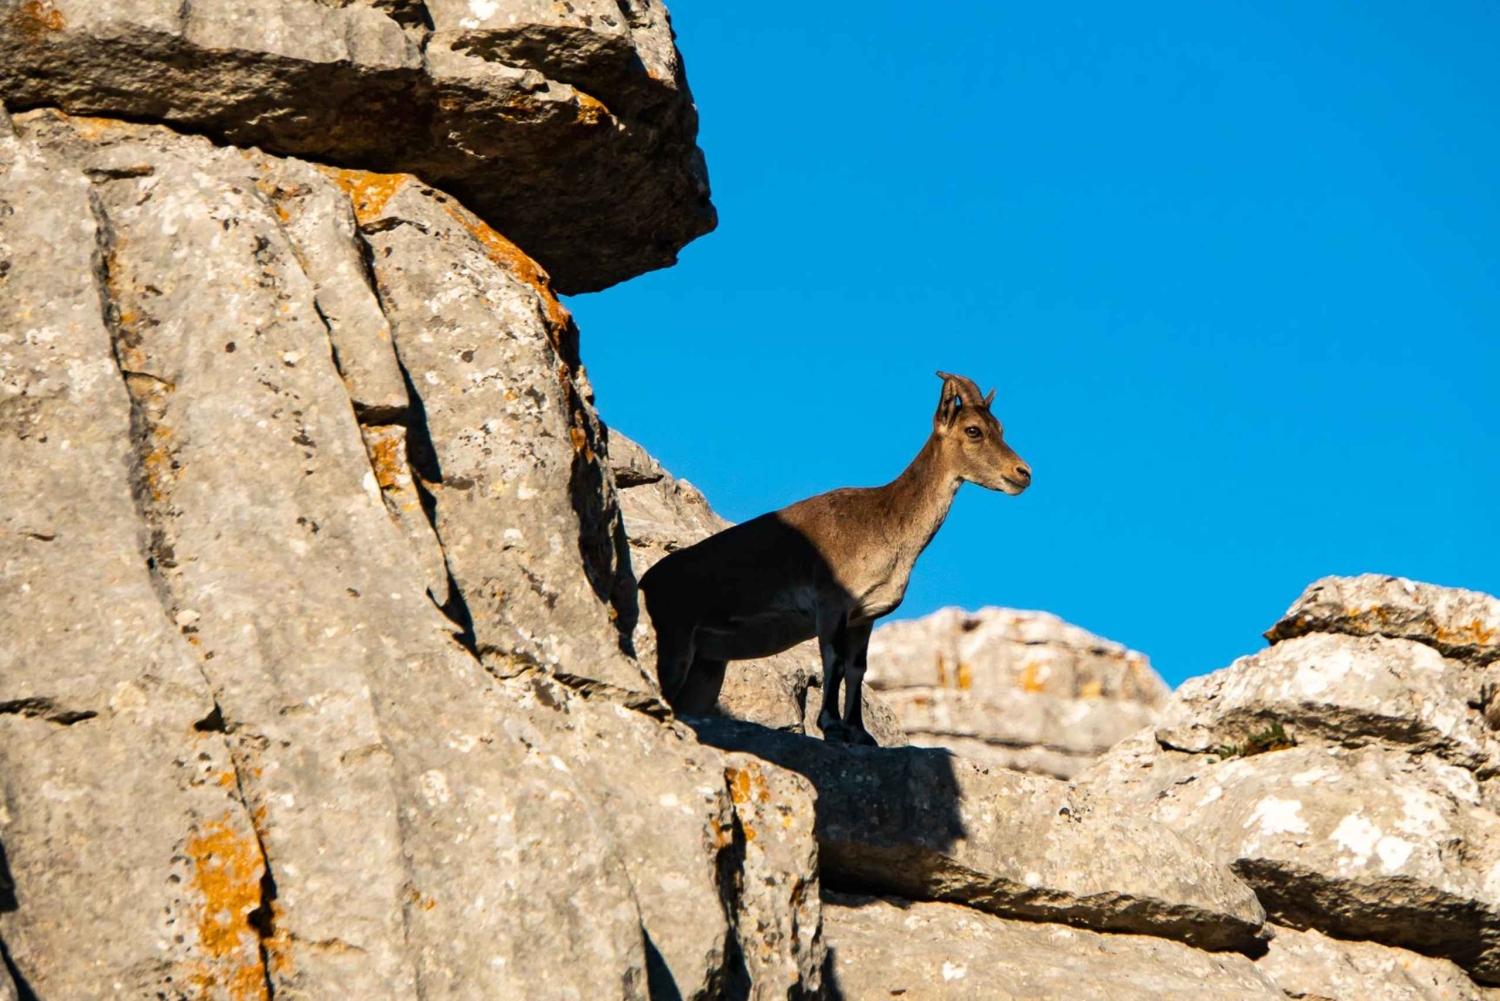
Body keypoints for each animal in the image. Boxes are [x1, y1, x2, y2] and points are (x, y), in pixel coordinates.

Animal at [638, 372, 1032, 745]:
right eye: (973, 430)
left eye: (1000, 428)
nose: (1023, 473)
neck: (884, 520)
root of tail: (649, 582)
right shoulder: (832, 606)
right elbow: (835, 661)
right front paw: (831, 725)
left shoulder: (865, 617)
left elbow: (858, 669)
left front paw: (860, 733)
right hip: (676, 642)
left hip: (707, 666)